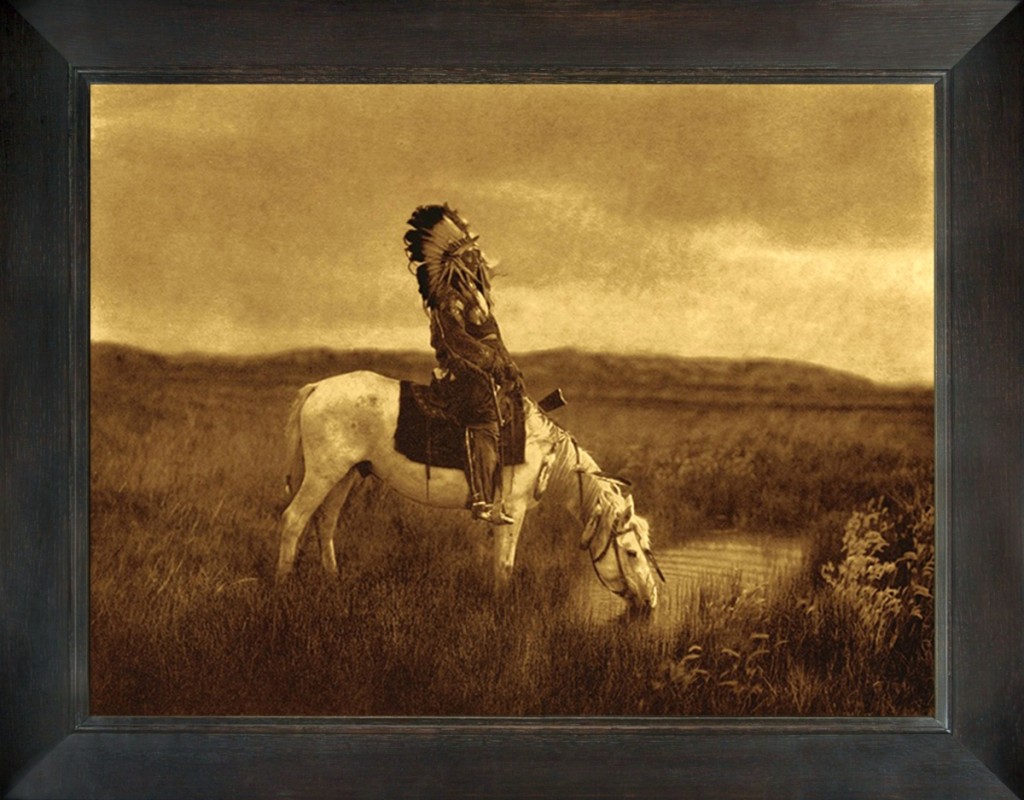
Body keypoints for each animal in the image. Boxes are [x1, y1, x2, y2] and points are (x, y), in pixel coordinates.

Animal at [278, 370, 663, 610]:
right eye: (631, 552)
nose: (651, 600)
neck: (545, 454)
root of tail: (317, 388)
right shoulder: (512, 510)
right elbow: (505, 565)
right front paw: (500, 609)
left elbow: (497, 562)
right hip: (323, 474)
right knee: (294, 520)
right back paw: (282, 586)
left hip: (344, 475)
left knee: (325, 523)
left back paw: (333, 580)